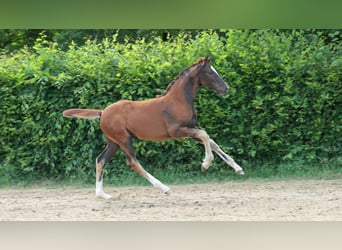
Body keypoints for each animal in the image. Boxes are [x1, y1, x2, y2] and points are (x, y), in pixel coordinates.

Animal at [62, 56, 244, 199]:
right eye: (210, 72)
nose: (226, 88)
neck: (177, 101)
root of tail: (102, 112)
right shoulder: (177, 131)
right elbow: (205, 135)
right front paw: (205, 164)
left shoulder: (190, 130)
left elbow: (211, 142)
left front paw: (238, 169)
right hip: (124, 140)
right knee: (133, 162)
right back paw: (164, 188)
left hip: (113, 142)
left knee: (100, 160)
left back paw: (103, 195)